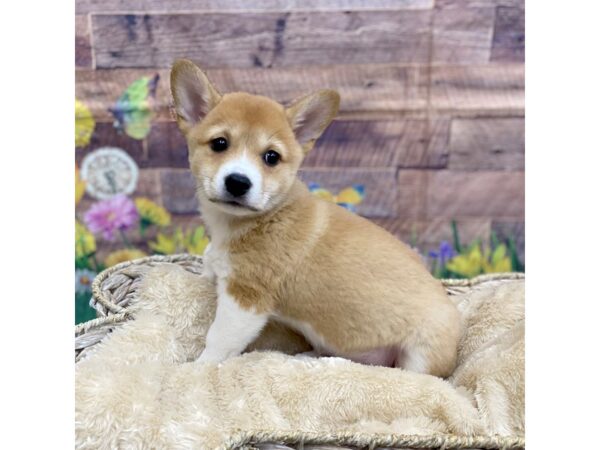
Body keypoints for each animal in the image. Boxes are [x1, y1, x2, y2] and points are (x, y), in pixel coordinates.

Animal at [171, 59, 462, 376]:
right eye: (220, 143)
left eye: (271, 157)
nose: (238, 182)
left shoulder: (245, 298)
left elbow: (218, 340)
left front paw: (197, 368)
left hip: (419, 358)